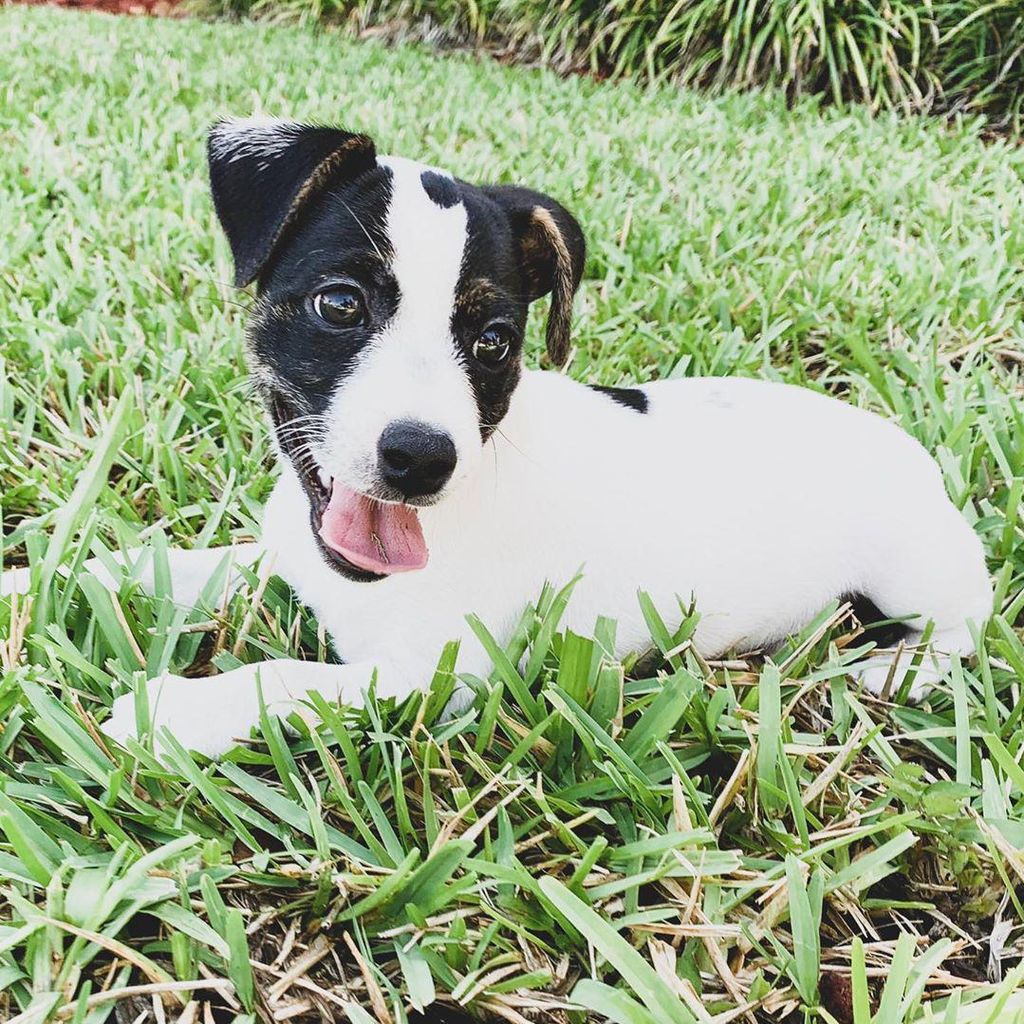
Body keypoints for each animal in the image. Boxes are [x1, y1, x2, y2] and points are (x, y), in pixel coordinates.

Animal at [2, 121, 991, 761]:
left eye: (494, 343)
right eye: (339, 304)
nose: (420, 459)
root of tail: (910, 452)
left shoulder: (436, 675)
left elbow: (282, 678)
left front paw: (171, 710)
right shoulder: (281, 555)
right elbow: (138, 565)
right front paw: (28, 582)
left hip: (917, 571)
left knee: (968, 628)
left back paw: (894, 671)